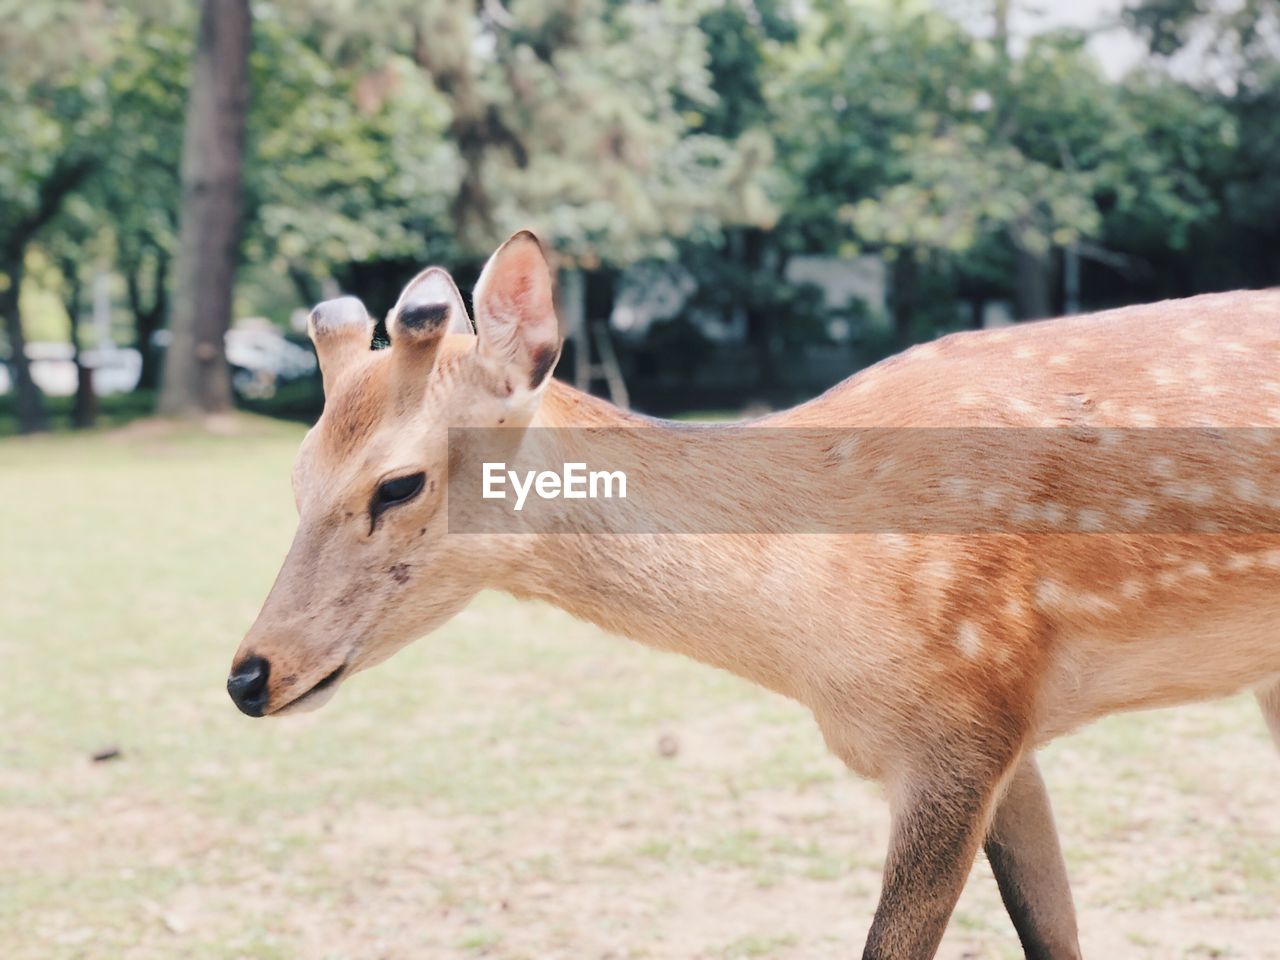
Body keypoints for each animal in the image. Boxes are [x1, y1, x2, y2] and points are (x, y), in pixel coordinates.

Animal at [227, 229, 1280, 957]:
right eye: (295, 475)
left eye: (398, 484)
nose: (248, 675)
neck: (811, 642)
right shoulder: (1008, 739)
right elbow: (1053, 932)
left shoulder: (962, 723)